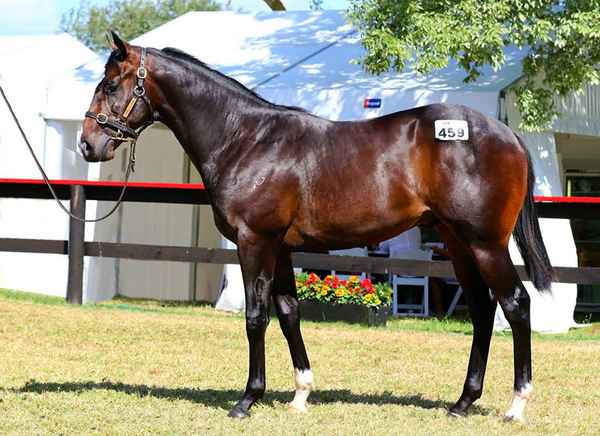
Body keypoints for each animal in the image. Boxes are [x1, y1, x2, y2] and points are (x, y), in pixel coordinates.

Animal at [79, 32, 552, 420]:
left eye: (111, 85)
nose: (88, 144)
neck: (245, 138)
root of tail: (507, 134)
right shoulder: (281, 248)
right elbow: (289, 313)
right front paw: (301, 394)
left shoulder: (255, 242)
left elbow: (255, 317)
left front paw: (247, 399)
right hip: (457, 243)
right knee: (483, 310)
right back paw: (462, 402)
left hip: (485, 243)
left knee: (515, 304)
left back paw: (516, 405)